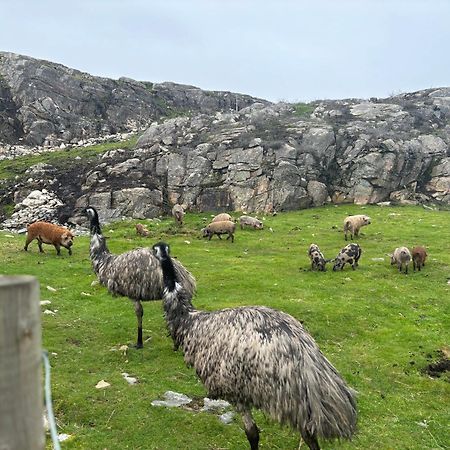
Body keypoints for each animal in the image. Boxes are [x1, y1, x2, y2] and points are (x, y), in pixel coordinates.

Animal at [85, 206, 196, 350]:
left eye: (85, 211)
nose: (83, 214)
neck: (105, 261)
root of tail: (188, 280)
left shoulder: (133, 293)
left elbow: (139, 312)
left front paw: (139, 343)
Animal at [153, 243, 356, 450]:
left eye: (154, 250)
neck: (189, 320)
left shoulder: (235, 392)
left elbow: (252, 433)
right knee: (309, 435)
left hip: (286, 401)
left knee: (307, 435)